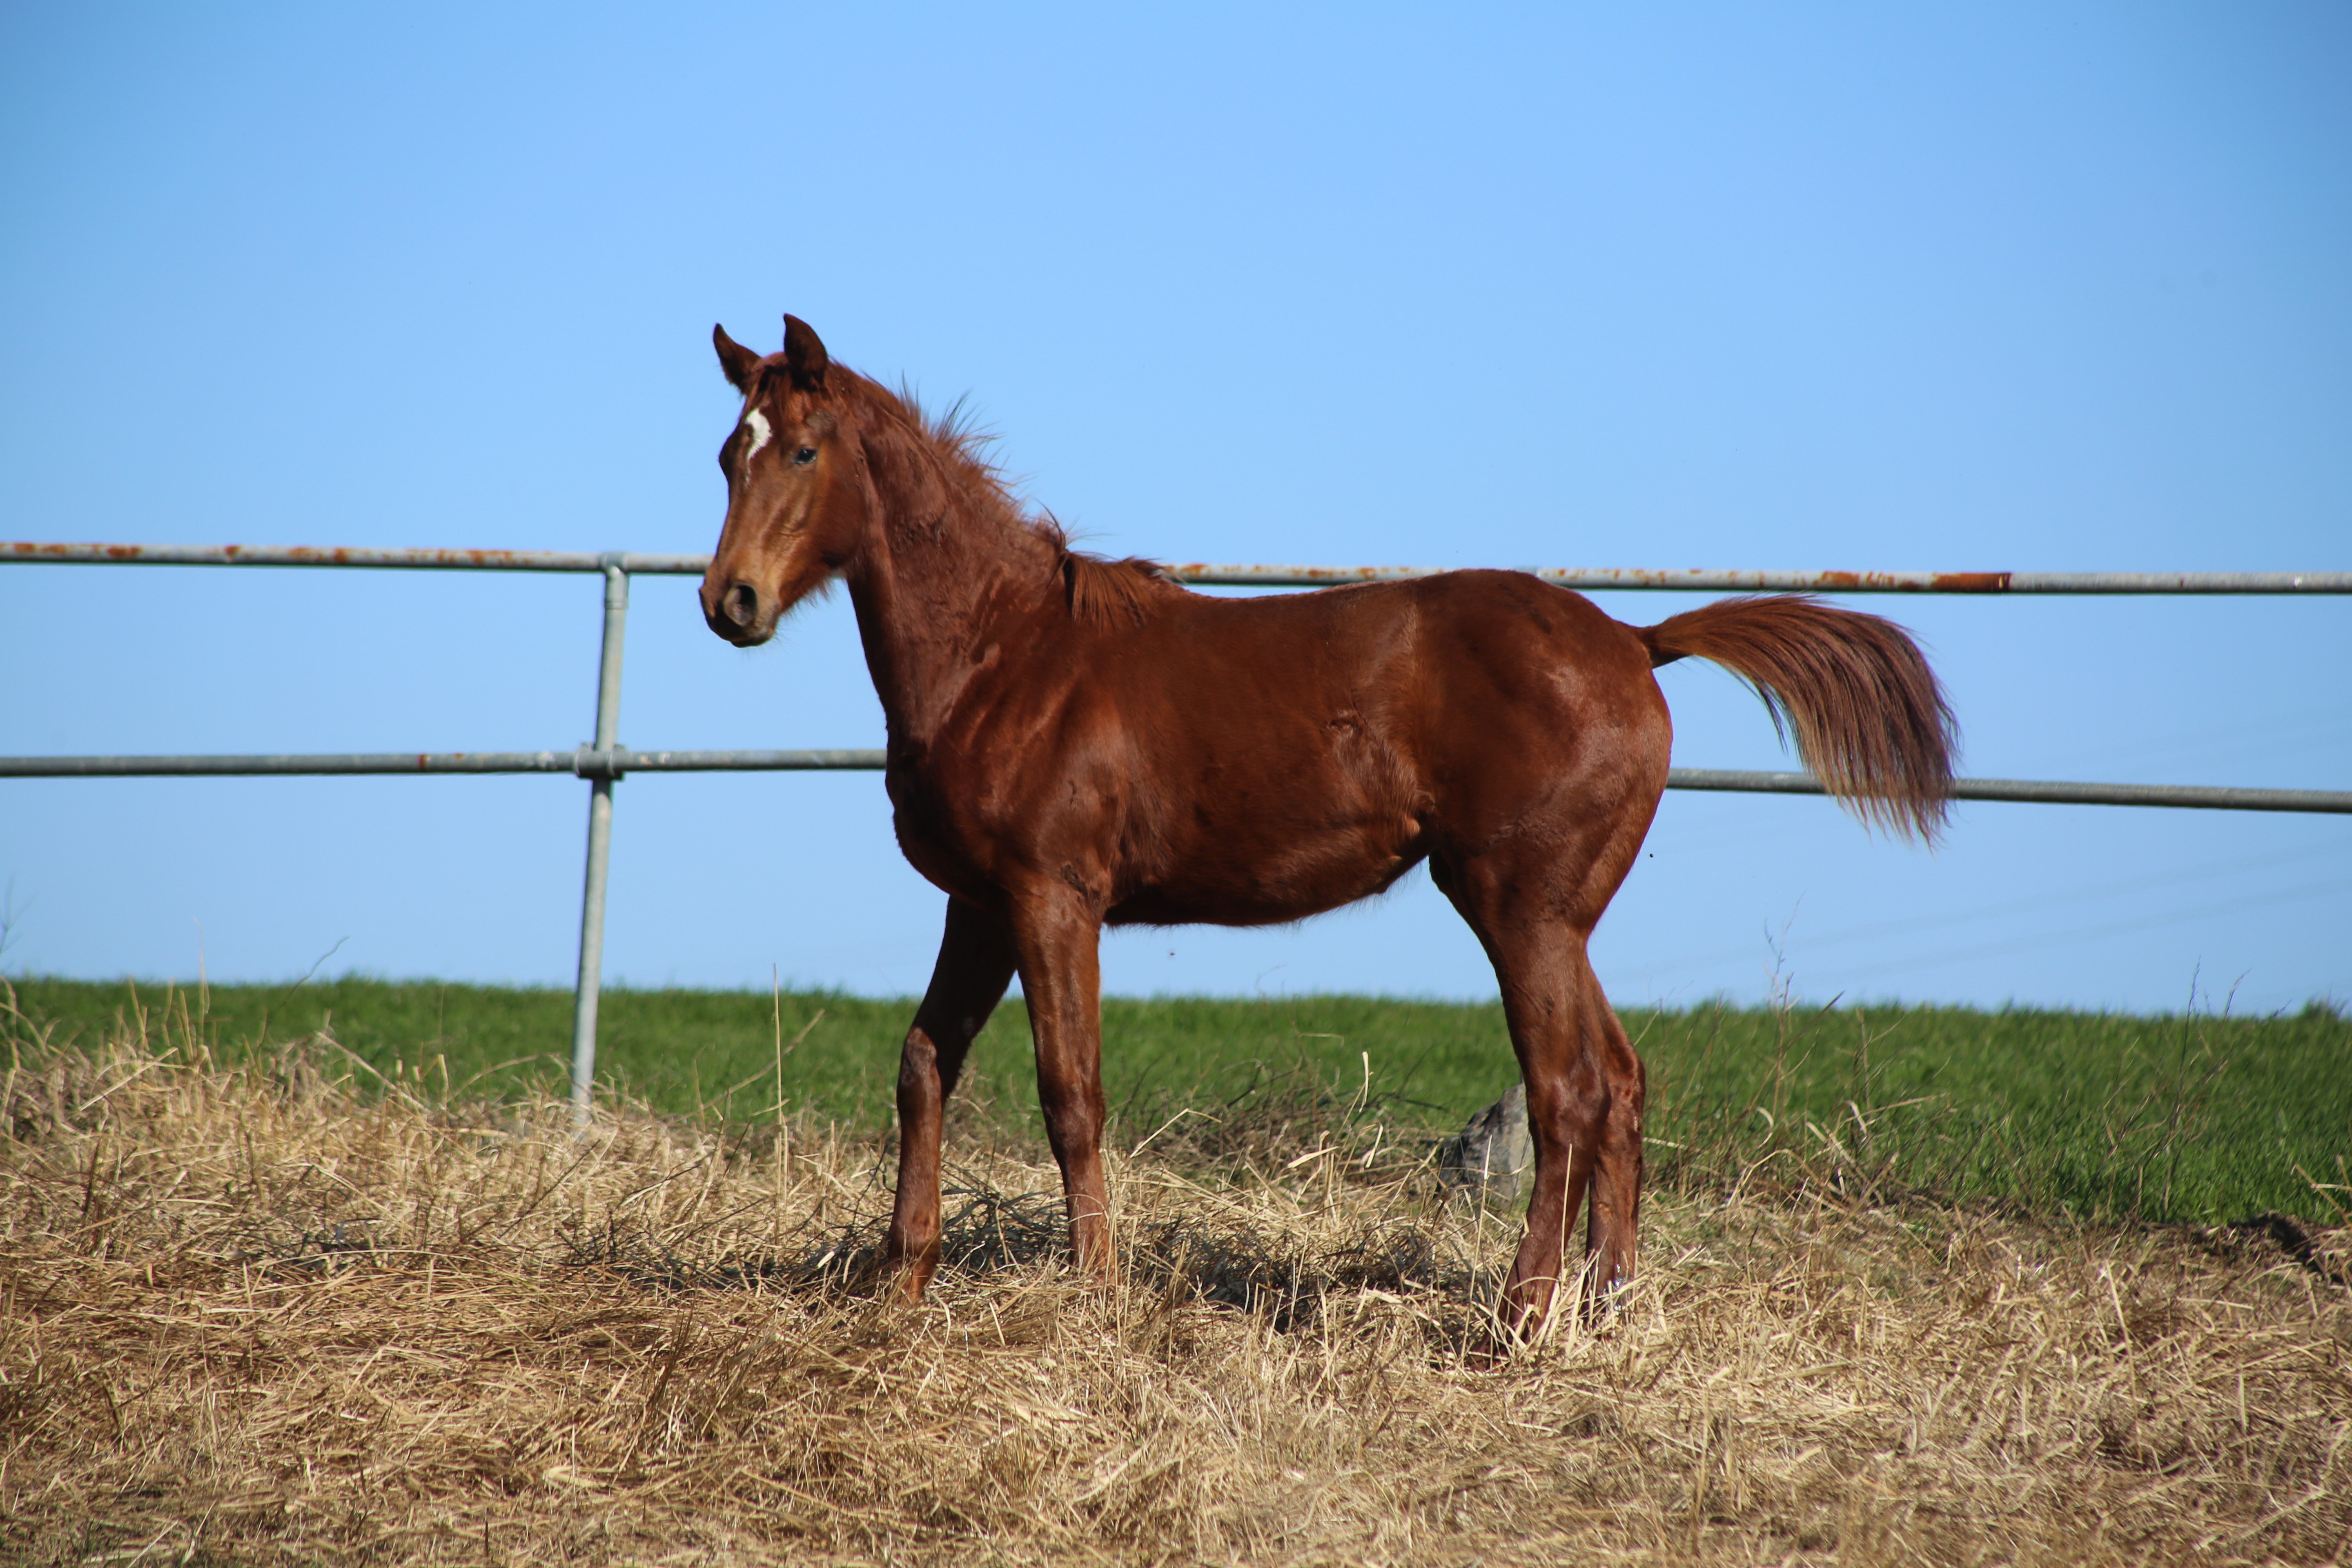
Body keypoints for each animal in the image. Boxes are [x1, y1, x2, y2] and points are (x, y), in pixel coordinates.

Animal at [696, 315, 1947, 1335]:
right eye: (725, 454)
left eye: (802, 451)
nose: (729, 602)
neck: (1006, 655)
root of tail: (1635, 641)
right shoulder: (980, 903)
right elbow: (923, 1066)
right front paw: (900, 1282)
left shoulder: (1054, 897)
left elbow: (1070, 1093)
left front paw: (1097, 1297)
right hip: (1558, 914)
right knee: (1623, 1082)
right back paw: (1608, 1305)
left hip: (1518, 907)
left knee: (1569, 1092)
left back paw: (1519, 1317)